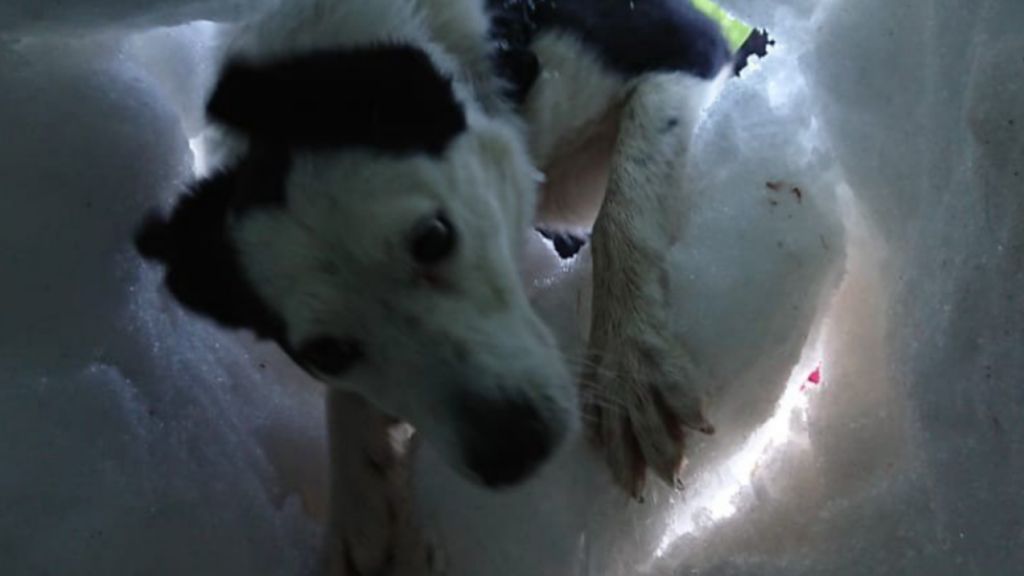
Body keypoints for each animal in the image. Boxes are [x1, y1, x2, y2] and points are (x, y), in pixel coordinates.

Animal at [136, 0, 733, 569]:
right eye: (325, 353)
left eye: (433, 238)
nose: (512, 450)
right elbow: (349, 403)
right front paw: (359, 498)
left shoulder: (682, 47)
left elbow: (623, 201)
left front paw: (626, 360)